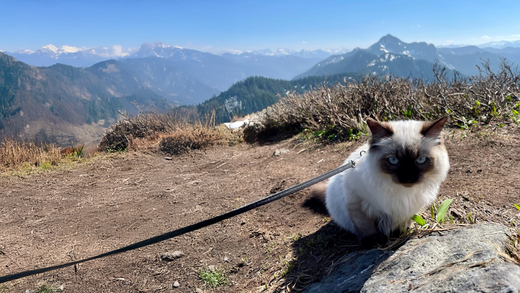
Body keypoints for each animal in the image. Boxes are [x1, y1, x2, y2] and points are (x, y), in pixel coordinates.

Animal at [322, 116, 448, 246]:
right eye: (393, 160)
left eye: (421, 159)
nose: (408, 177)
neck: (402, 192)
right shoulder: (357, 202)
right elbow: (365, 226)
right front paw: (372, 242)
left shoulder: (408, 209)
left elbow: (404, 222)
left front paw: (401, 232)